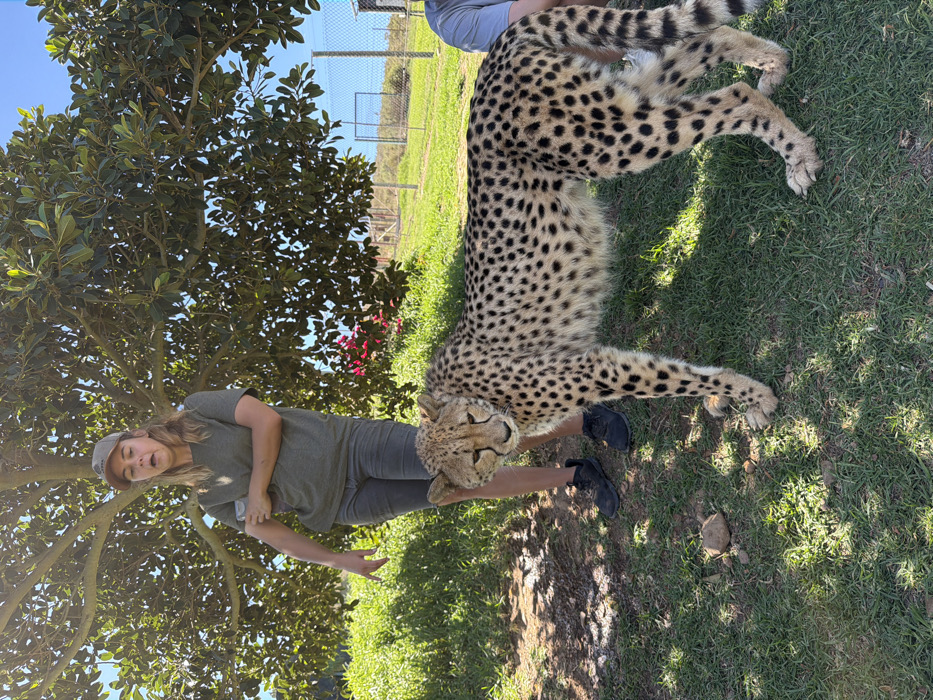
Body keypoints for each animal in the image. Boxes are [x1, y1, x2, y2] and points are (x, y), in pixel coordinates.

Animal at [415, 0, 822, 504]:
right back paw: (773, 63)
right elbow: (684, 371)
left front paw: (753, 396)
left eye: (473, 428)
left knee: (734, 96)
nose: (503, 435)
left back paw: (797, 154)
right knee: (708, 41)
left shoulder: (591, 369)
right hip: (618, 99)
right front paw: (726, 396)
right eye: (471, 454)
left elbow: (673, 378)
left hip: (607, 139)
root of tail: (494, 54)